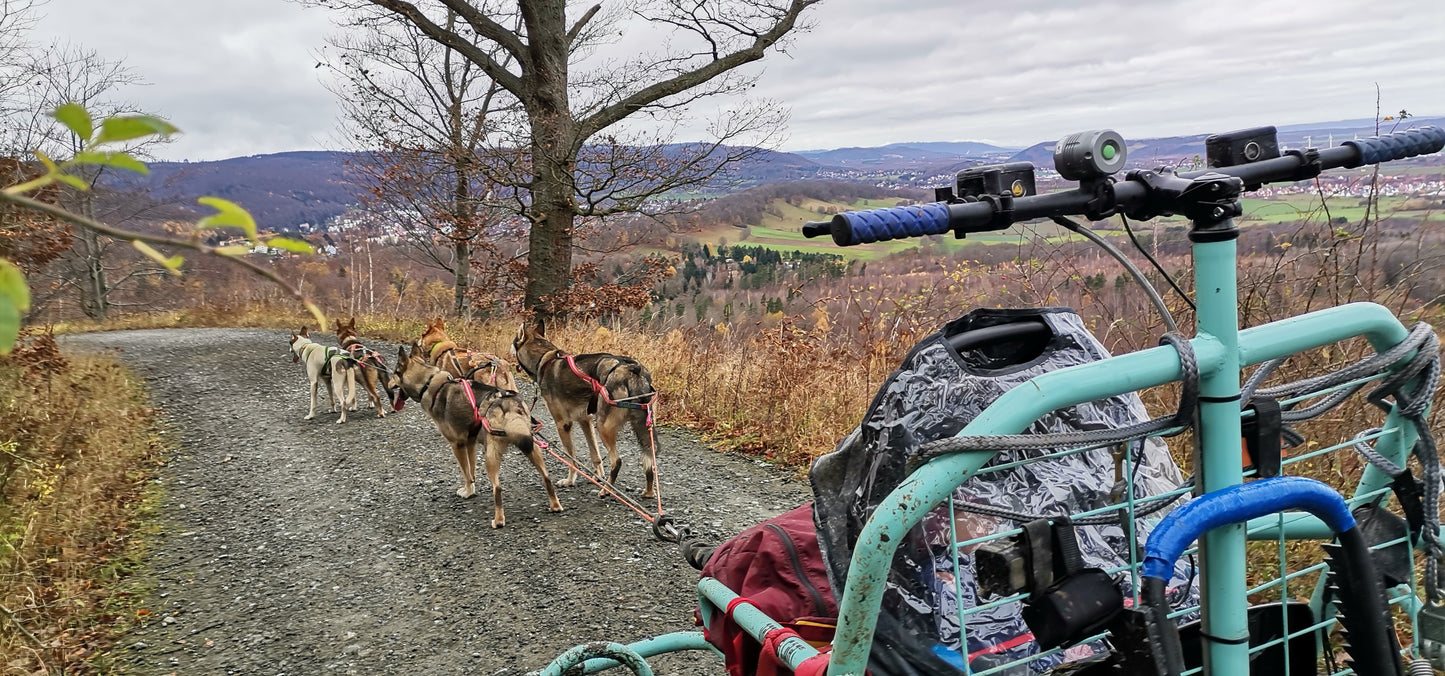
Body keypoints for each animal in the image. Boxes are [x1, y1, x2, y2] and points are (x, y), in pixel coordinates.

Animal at [384, 343, 563, 528]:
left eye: (394, 373)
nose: (387, 385)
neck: (429, 384)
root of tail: (505, 404)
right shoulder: (470, 443)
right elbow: (472, 470)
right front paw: (472, 488)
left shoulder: (457, 445)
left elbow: (466, 473)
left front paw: (468, 491)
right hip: (533, 447)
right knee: (546, 478)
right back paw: (555, 505)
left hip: (491, 457)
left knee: (497, 489)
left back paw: (498, 520)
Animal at [514, 319, 661, 499]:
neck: (545, 358)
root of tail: (633, 370)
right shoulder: (585, 420)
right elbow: (595, 455)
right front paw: (597, 475)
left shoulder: (563, 424)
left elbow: (571, 458)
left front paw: (570, 480)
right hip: (643, 428)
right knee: (649, 461)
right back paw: (648, 492)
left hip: (604, 427)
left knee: (617, 461)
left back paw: (606, 490)